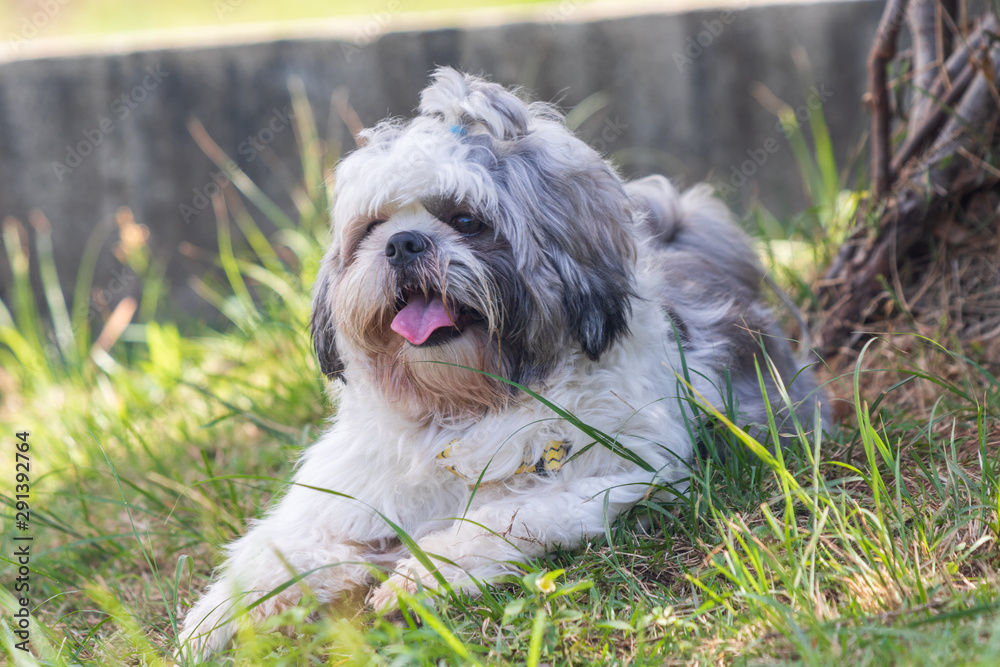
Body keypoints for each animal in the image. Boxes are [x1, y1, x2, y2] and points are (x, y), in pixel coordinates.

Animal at [176, 68, 824, 664]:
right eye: (373, 227)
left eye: (467, 220)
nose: (404, 242)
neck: (462, 405)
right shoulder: (347, 490)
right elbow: (274, 550)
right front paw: (214, 619)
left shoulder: (631, 472)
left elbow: (511, 516)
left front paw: (421, 575)